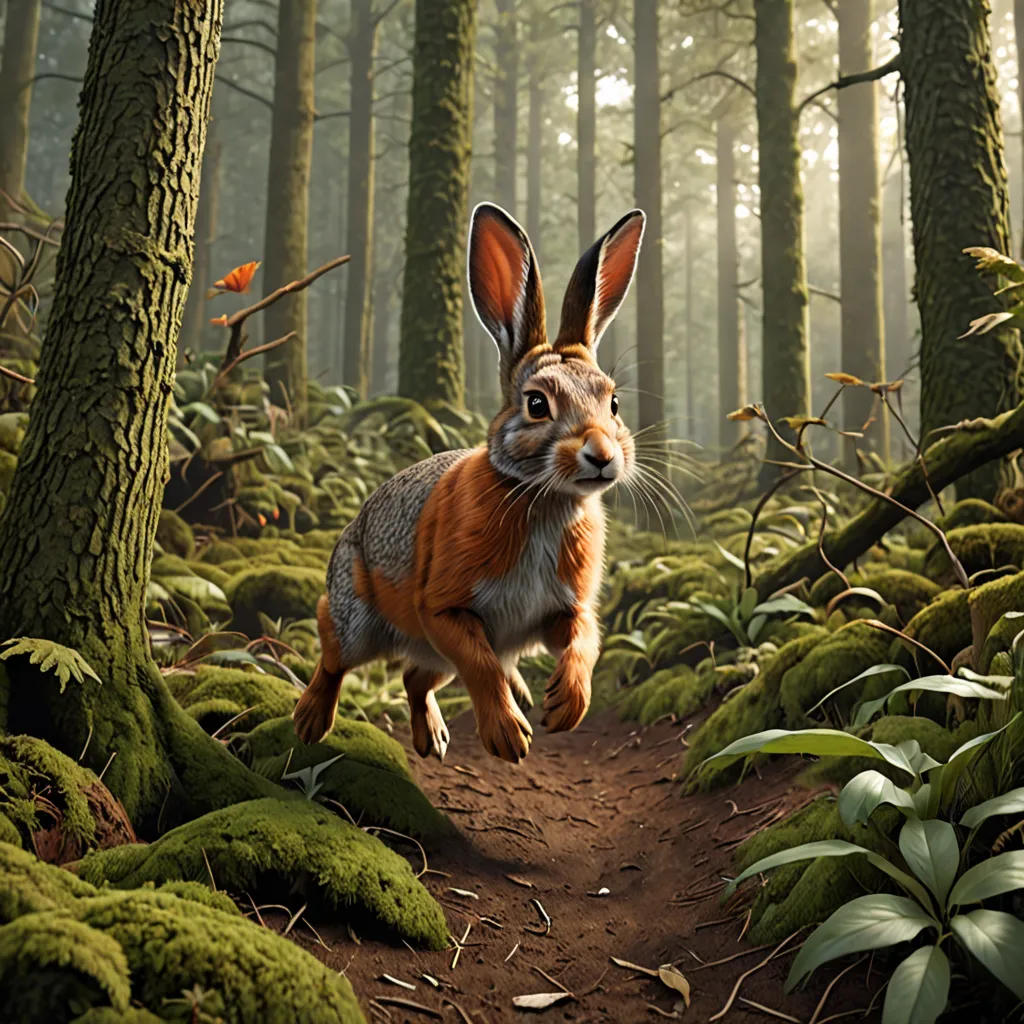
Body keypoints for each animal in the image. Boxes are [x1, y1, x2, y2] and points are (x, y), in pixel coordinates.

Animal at [292, 201, 645, 763]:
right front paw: (509, 737)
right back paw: (309, 722)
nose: (602, 456)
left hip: (433, 656)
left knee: (415, 679)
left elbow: (584, 639)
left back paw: (433, 738)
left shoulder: (562, 609)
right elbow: (481, 665)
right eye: (537, 403)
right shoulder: (445, 609)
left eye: (613, 402)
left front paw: (565, 707)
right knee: (333, 648)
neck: (541, 498)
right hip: (360, 619)